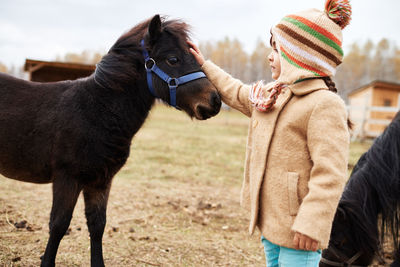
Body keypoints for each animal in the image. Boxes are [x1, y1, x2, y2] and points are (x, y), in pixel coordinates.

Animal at [0, 15, 222, 267]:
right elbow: (58, 225)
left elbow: (97, 225)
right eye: (173, 59)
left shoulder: (101, 181)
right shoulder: (67, 178)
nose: (215, 101)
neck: (97, 111)